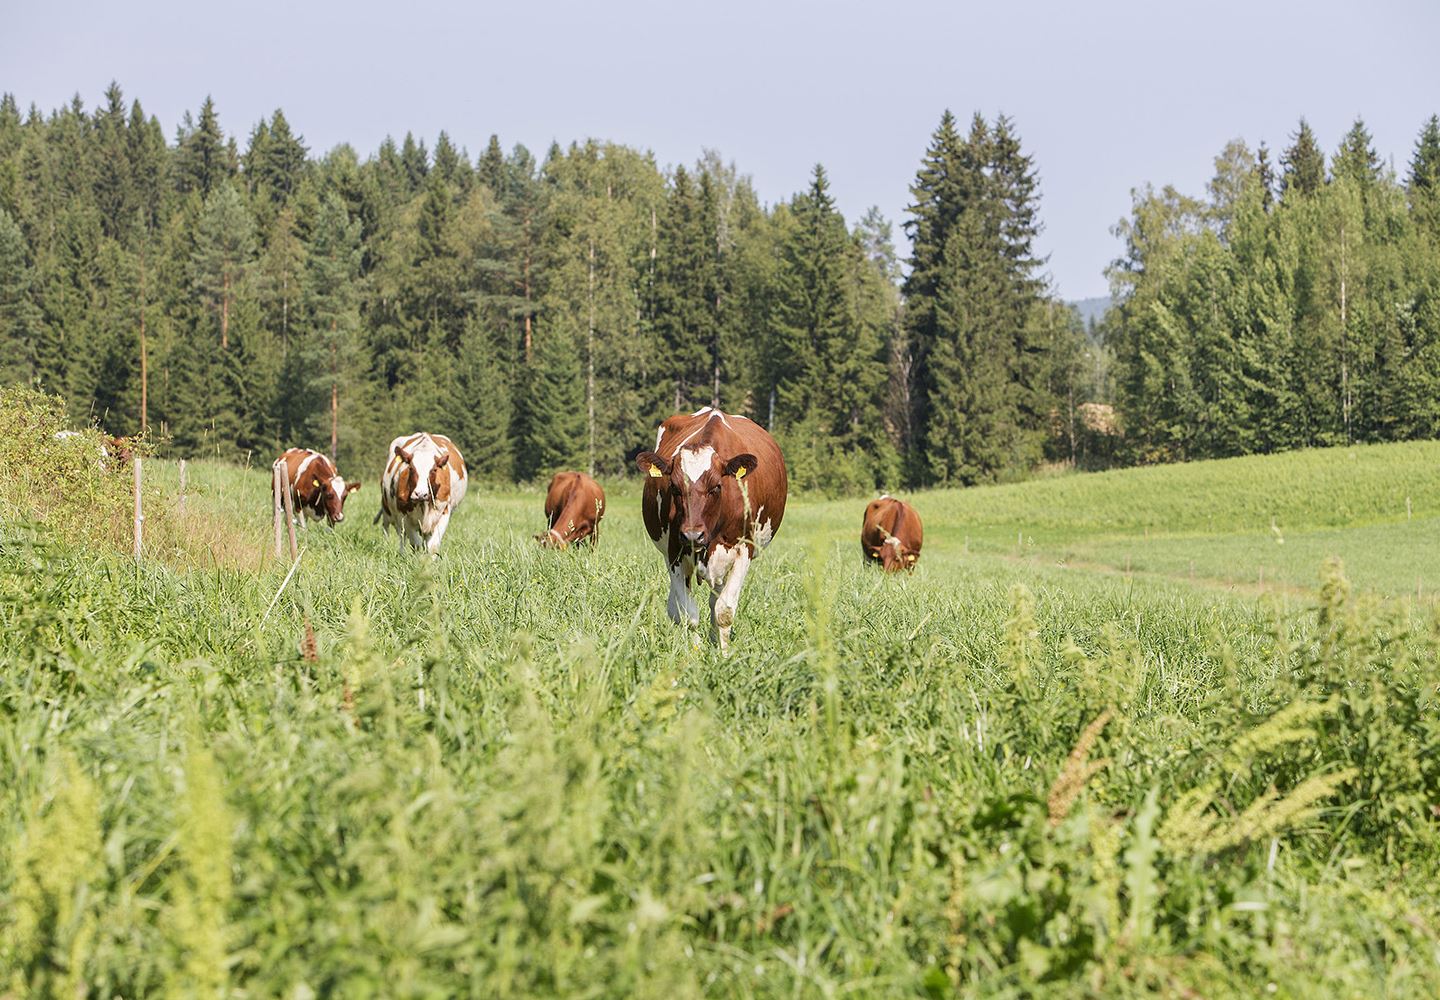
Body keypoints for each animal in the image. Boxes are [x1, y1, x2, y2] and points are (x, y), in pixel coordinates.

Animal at [633, 406, 789, 651]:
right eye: (674, 488)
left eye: (716, 486)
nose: (693, 535)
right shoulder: (674, 552)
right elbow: (688, 614)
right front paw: (694, 653)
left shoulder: (743, 551)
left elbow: (724, 611)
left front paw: (723, 654)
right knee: (676, 607)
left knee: (716, 601)